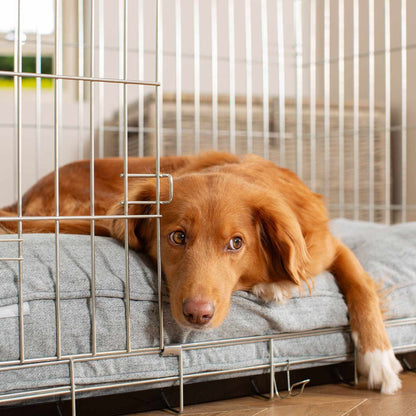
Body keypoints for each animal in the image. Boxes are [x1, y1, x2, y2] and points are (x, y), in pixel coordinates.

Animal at [0, 152, 404, 394]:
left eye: (236, 243)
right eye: (177, 236)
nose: (198, 314)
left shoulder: (329, 246)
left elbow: (360, 284)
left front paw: (378, 357)